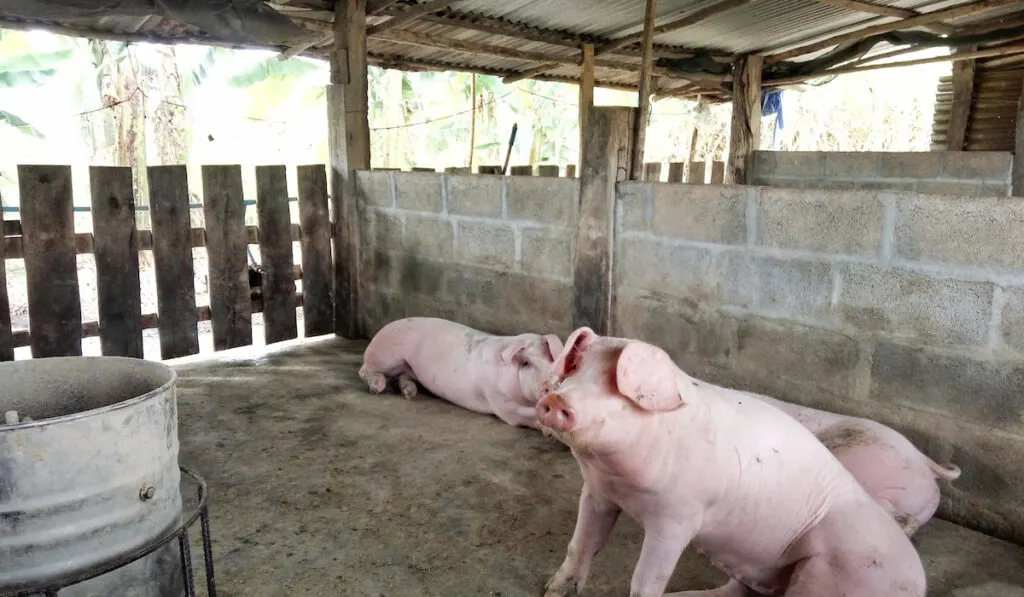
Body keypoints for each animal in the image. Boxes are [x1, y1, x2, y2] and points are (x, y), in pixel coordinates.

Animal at [358, 317, 565, 430]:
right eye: (525, 363)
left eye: (553, 360)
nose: (550, 384)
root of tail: (383, 328)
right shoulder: (500, 401)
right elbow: (521, 415)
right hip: (384, 355)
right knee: (364, 370)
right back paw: (377, 388)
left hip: (408, 367)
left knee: (403, 377)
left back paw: (409, 393)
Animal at [536, 329, 929, 597]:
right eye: (575, 369)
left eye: (614, 383)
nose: (554, 398)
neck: (619, 479)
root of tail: (918, 581)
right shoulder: (598, 493)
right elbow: (580, 546)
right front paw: (551, 591)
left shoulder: (679, 517)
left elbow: (646, 580)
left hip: (833, 571)